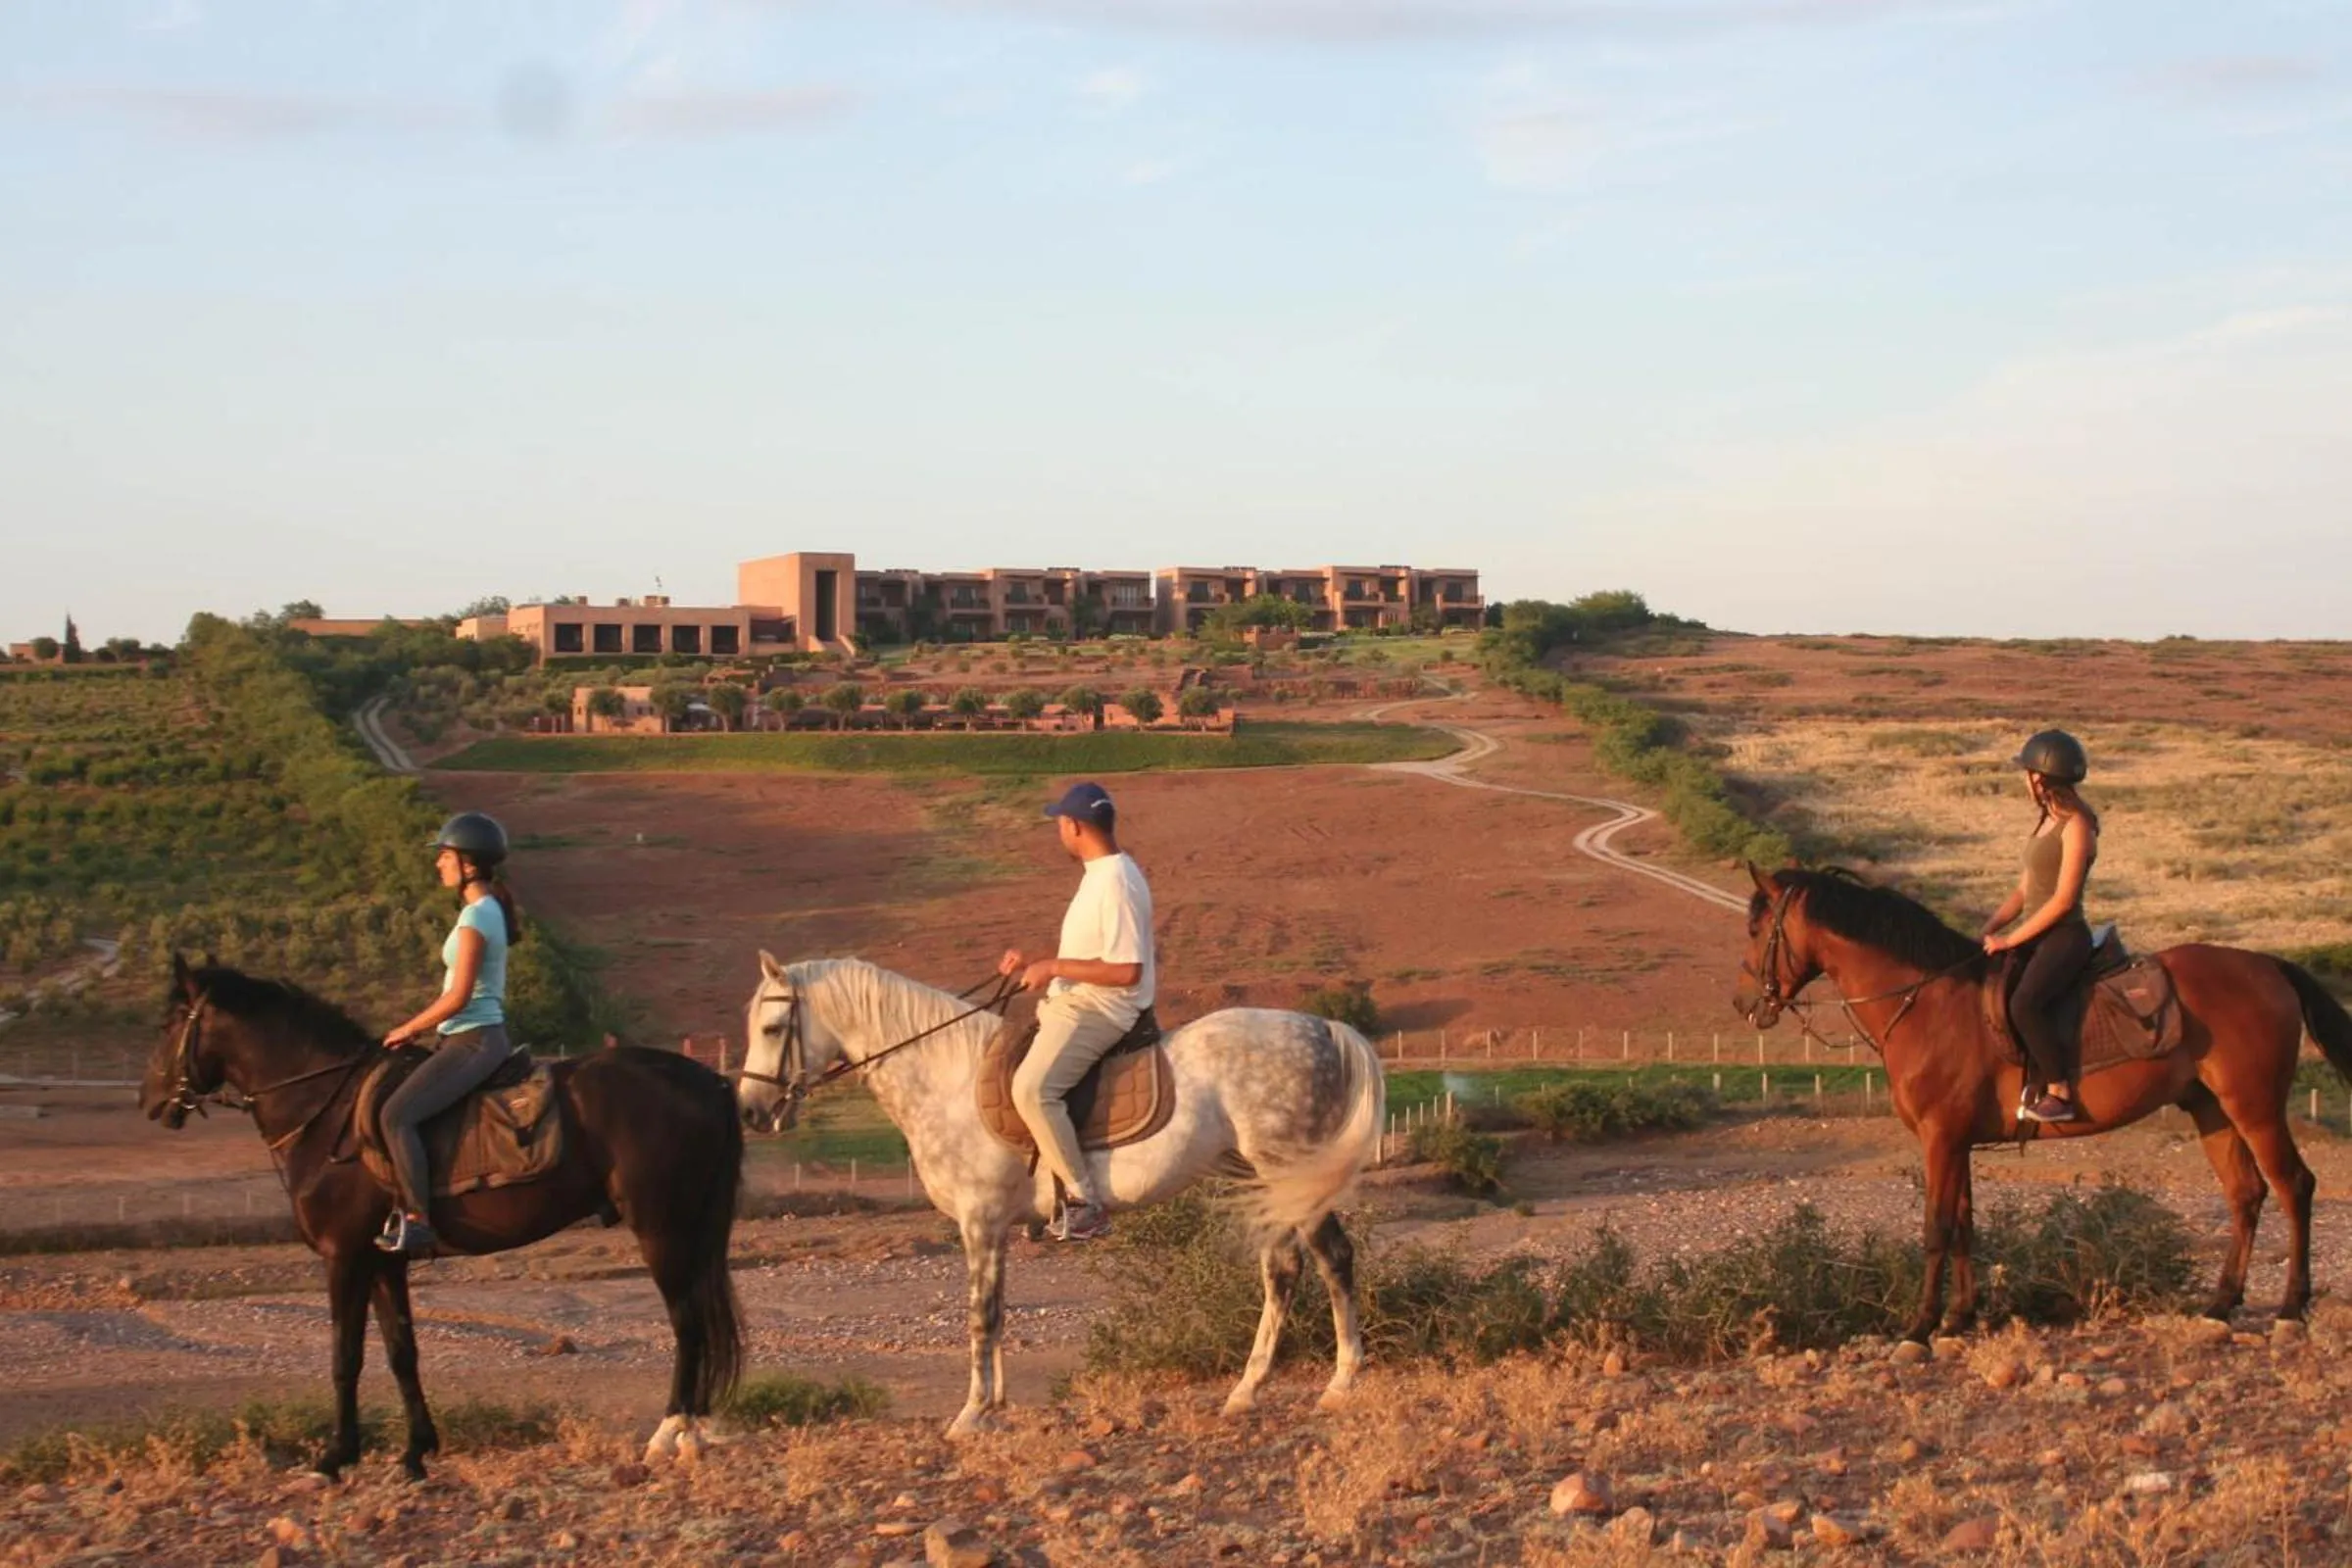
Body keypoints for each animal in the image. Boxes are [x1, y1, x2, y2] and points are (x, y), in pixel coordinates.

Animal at [138, 954, 744, 1476]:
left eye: (168, 1024)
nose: (148, 1102)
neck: (327, 1111)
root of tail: (709, 1081)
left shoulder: (344, 1257)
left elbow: (346, 1356)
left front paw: (336, 1457)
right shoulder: (384, 1261)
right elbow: (402, 1352)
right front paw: (416, 1452)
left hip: (662, 1229)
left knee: (687, 1325)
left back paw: (666, 1436)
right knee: (700, 1321)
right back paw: (691, 1435)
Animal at [734, 955, 1386, 1436]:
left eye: (772, 1029)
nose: (751, 1112)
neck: (946, 1077)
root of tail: (1323, 1027)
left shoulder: (979, 1219)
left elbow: (980, 1314)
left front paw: (971, 1414)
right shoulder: (994, 1226)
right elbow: (997, 1312)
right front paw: (995, 1405)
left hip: (1289, 1176)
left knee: (1332, 1259)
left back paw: (1340, 1383)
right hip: (1259, 1182)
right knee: (1283, 1269)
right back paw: (1246, 1391)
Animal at [1734, 864, 2352, 1342]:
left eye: (1759, 927)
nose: (1743, 1003)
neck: (1926, 1002)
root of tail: (2268, 965)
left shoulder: (1941, 1137)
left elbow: (1936, 1228)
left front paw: (1920, 1328)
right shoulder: (1958, 1141)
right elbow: (1965, 1225)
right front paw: (1959, 1319)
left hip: (2255, 1107)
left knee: (2294, 1186)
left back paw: (2291, 1310)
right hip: (2212, 1110)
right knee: (2245, 1195)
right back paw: (2220, 1307)